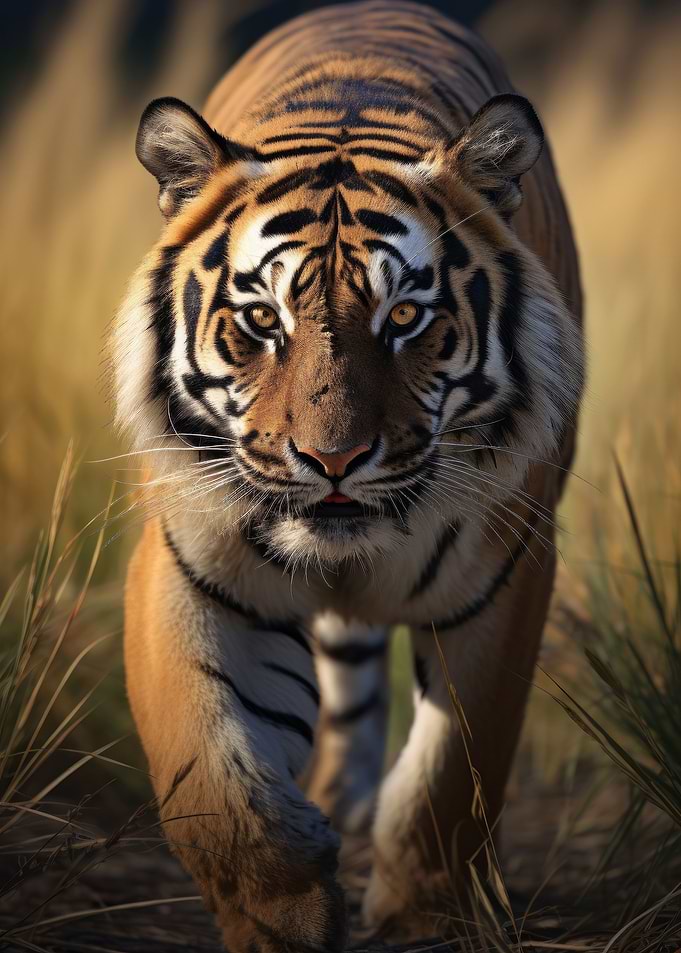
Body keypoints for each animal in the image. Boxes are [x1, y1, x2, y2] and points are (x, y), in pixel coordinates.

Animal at [113, 1, 584, 950]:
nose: (330, 460)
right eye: (262, 320)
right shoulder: (188, 563)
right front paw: (282, 911)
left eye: (404, 317)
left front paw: (420, 914)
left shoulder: (507, 575)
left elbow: (451, 774)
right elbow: (209, 772)